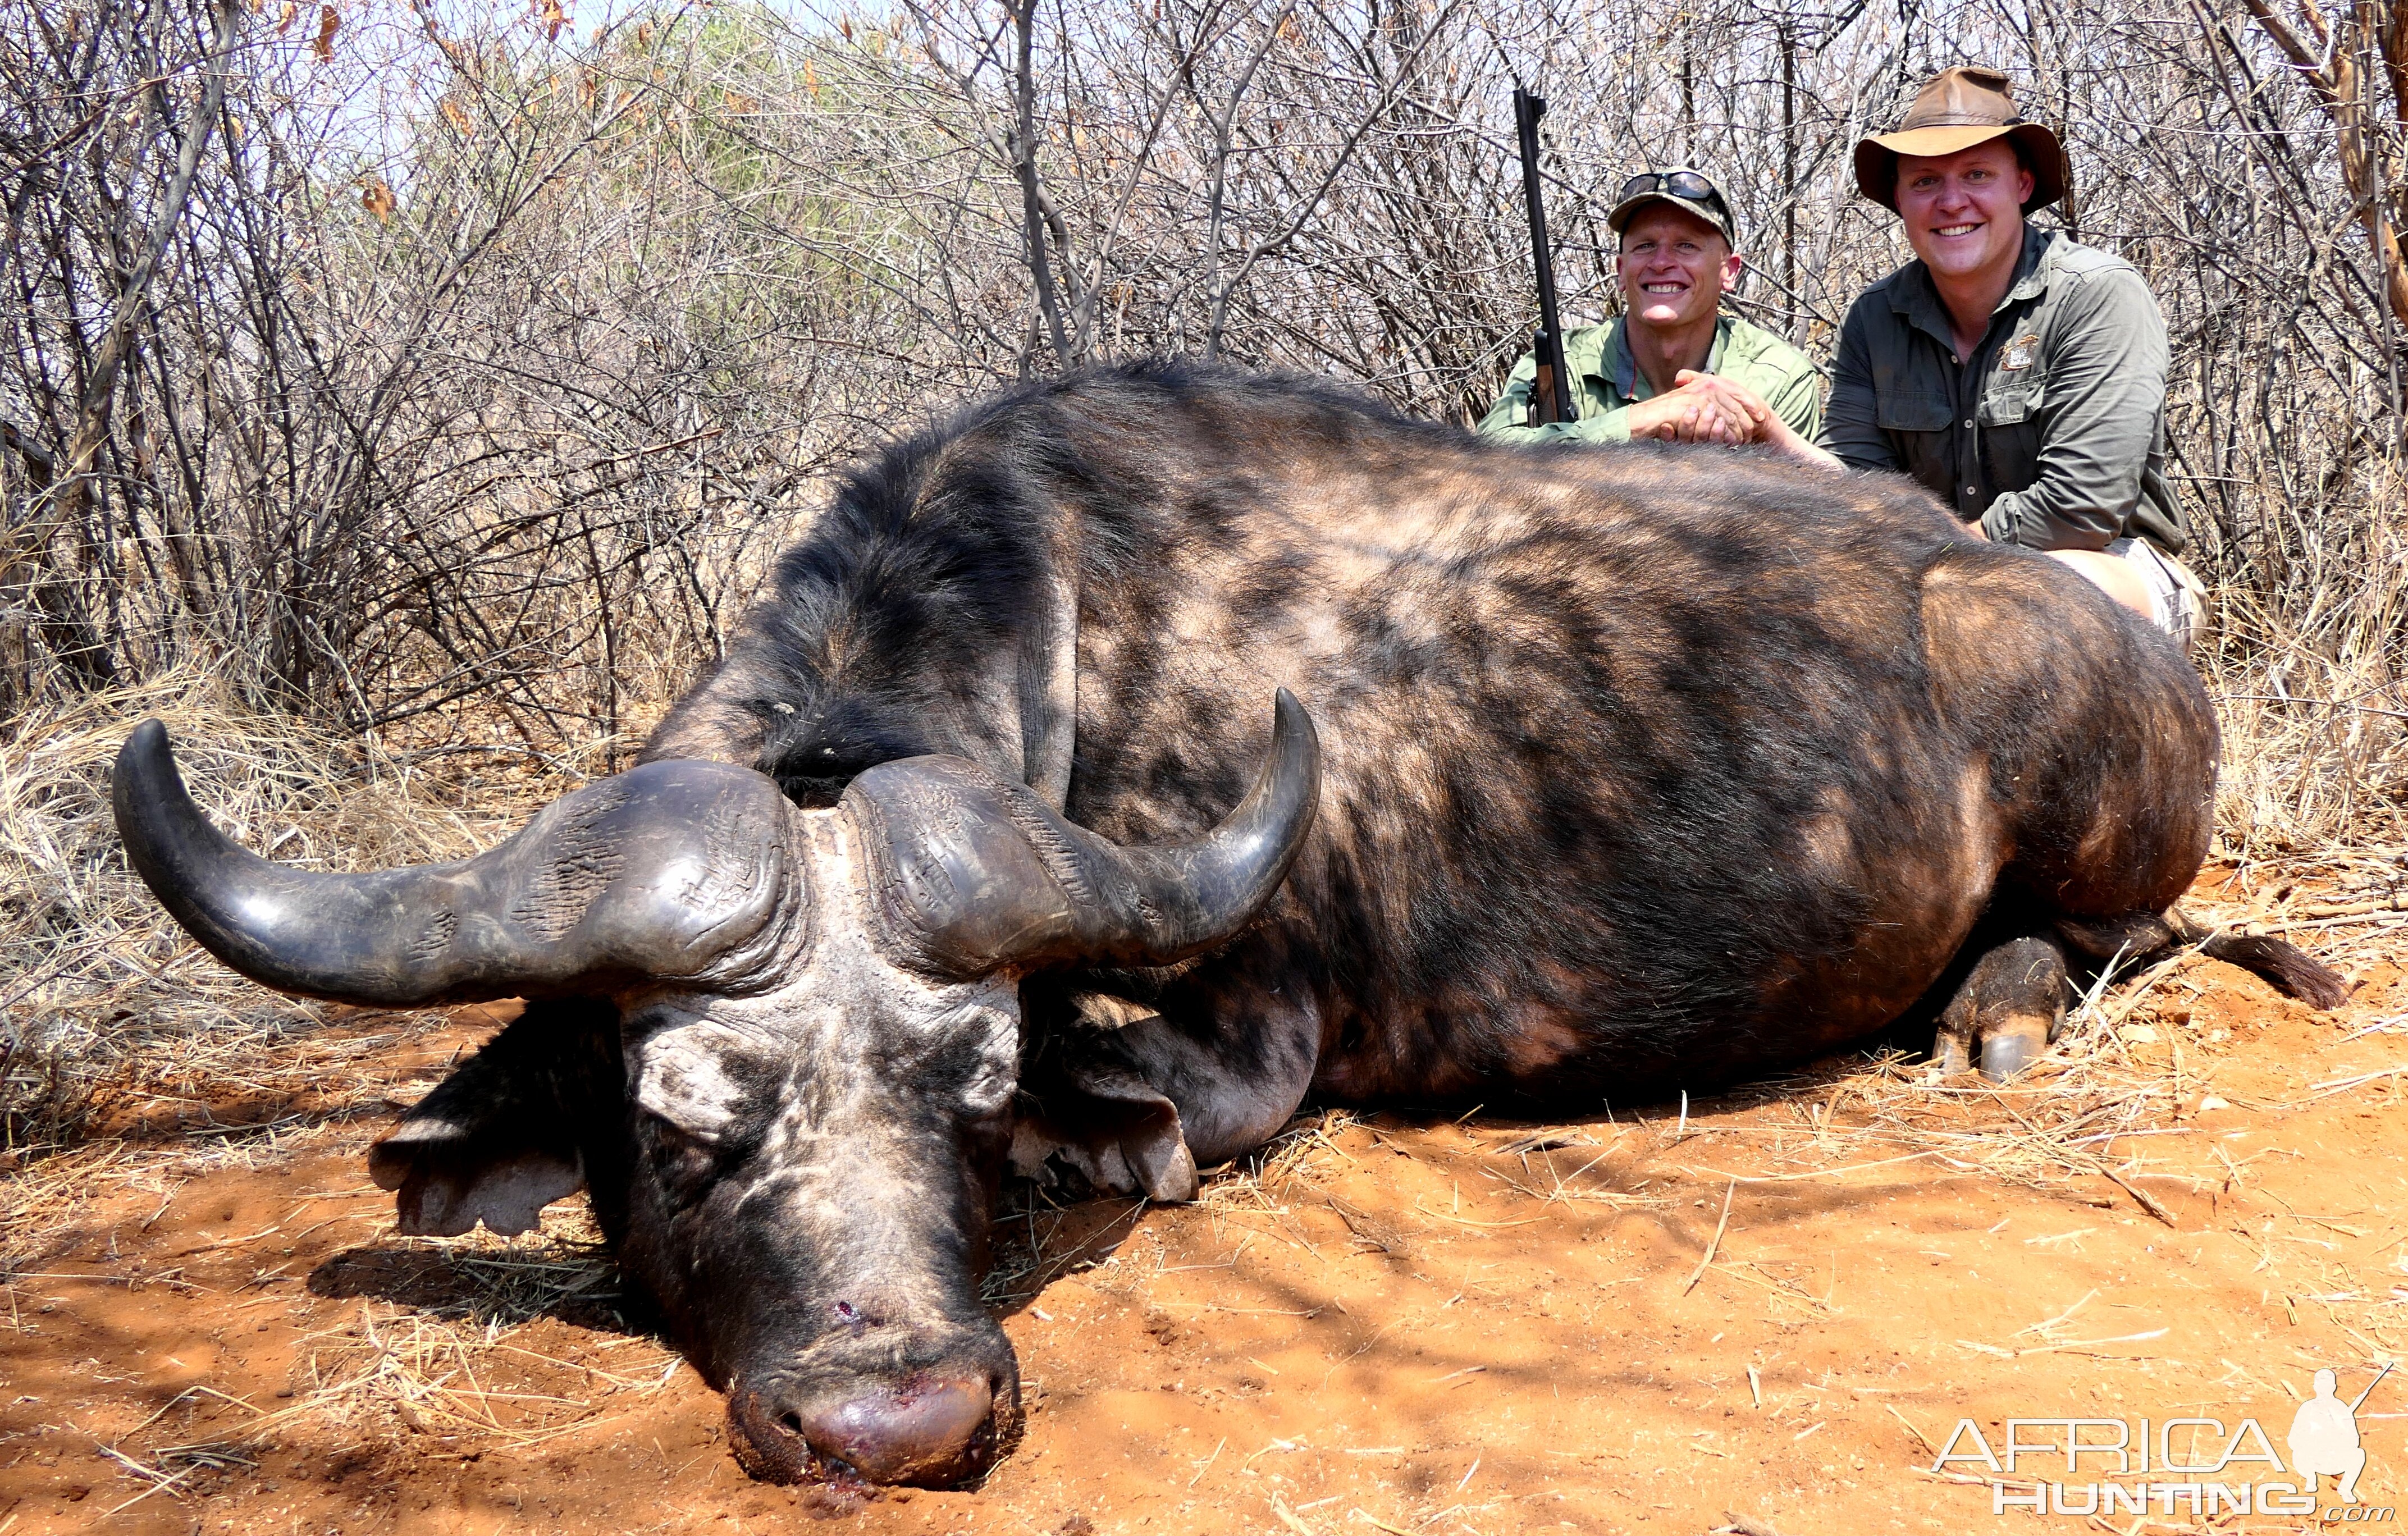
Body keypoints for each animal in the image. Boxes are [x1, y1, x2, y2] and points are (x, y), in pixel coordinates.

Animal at [108, 358, 2331, 1492]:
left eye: (976, 1094)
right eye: (675, 1123)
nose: (899, 1414)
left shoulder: (1252, 1041)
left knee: (2110, 927)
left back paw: (1998, 1003)